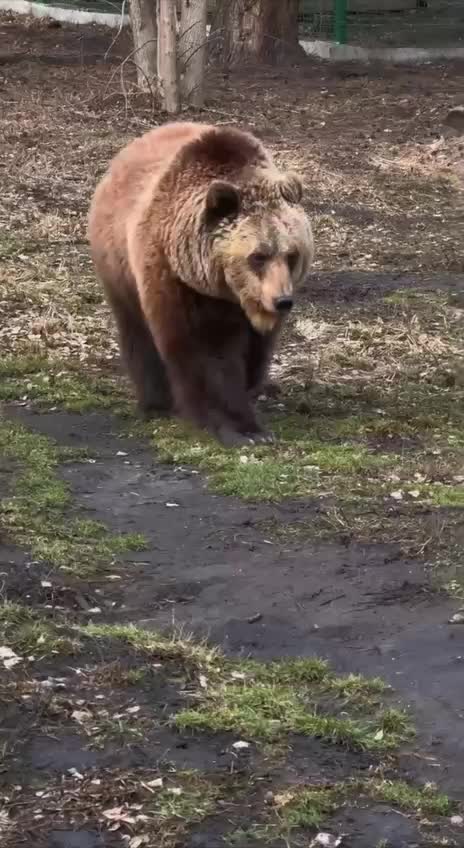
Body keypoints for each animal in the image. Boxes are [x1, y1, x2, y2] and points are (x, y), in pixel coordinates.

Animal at [87, 124, 314, 450]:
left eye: (292, 254)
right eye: (258, 255)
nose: (282, 300)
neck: (227, 291)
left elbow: (255, 352)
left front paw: (251, 398)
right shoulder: (179, 281)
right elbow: (205, 352)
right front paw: (241, 429)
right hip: (119, 264)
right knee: (137, 330)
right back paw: (156, 402)